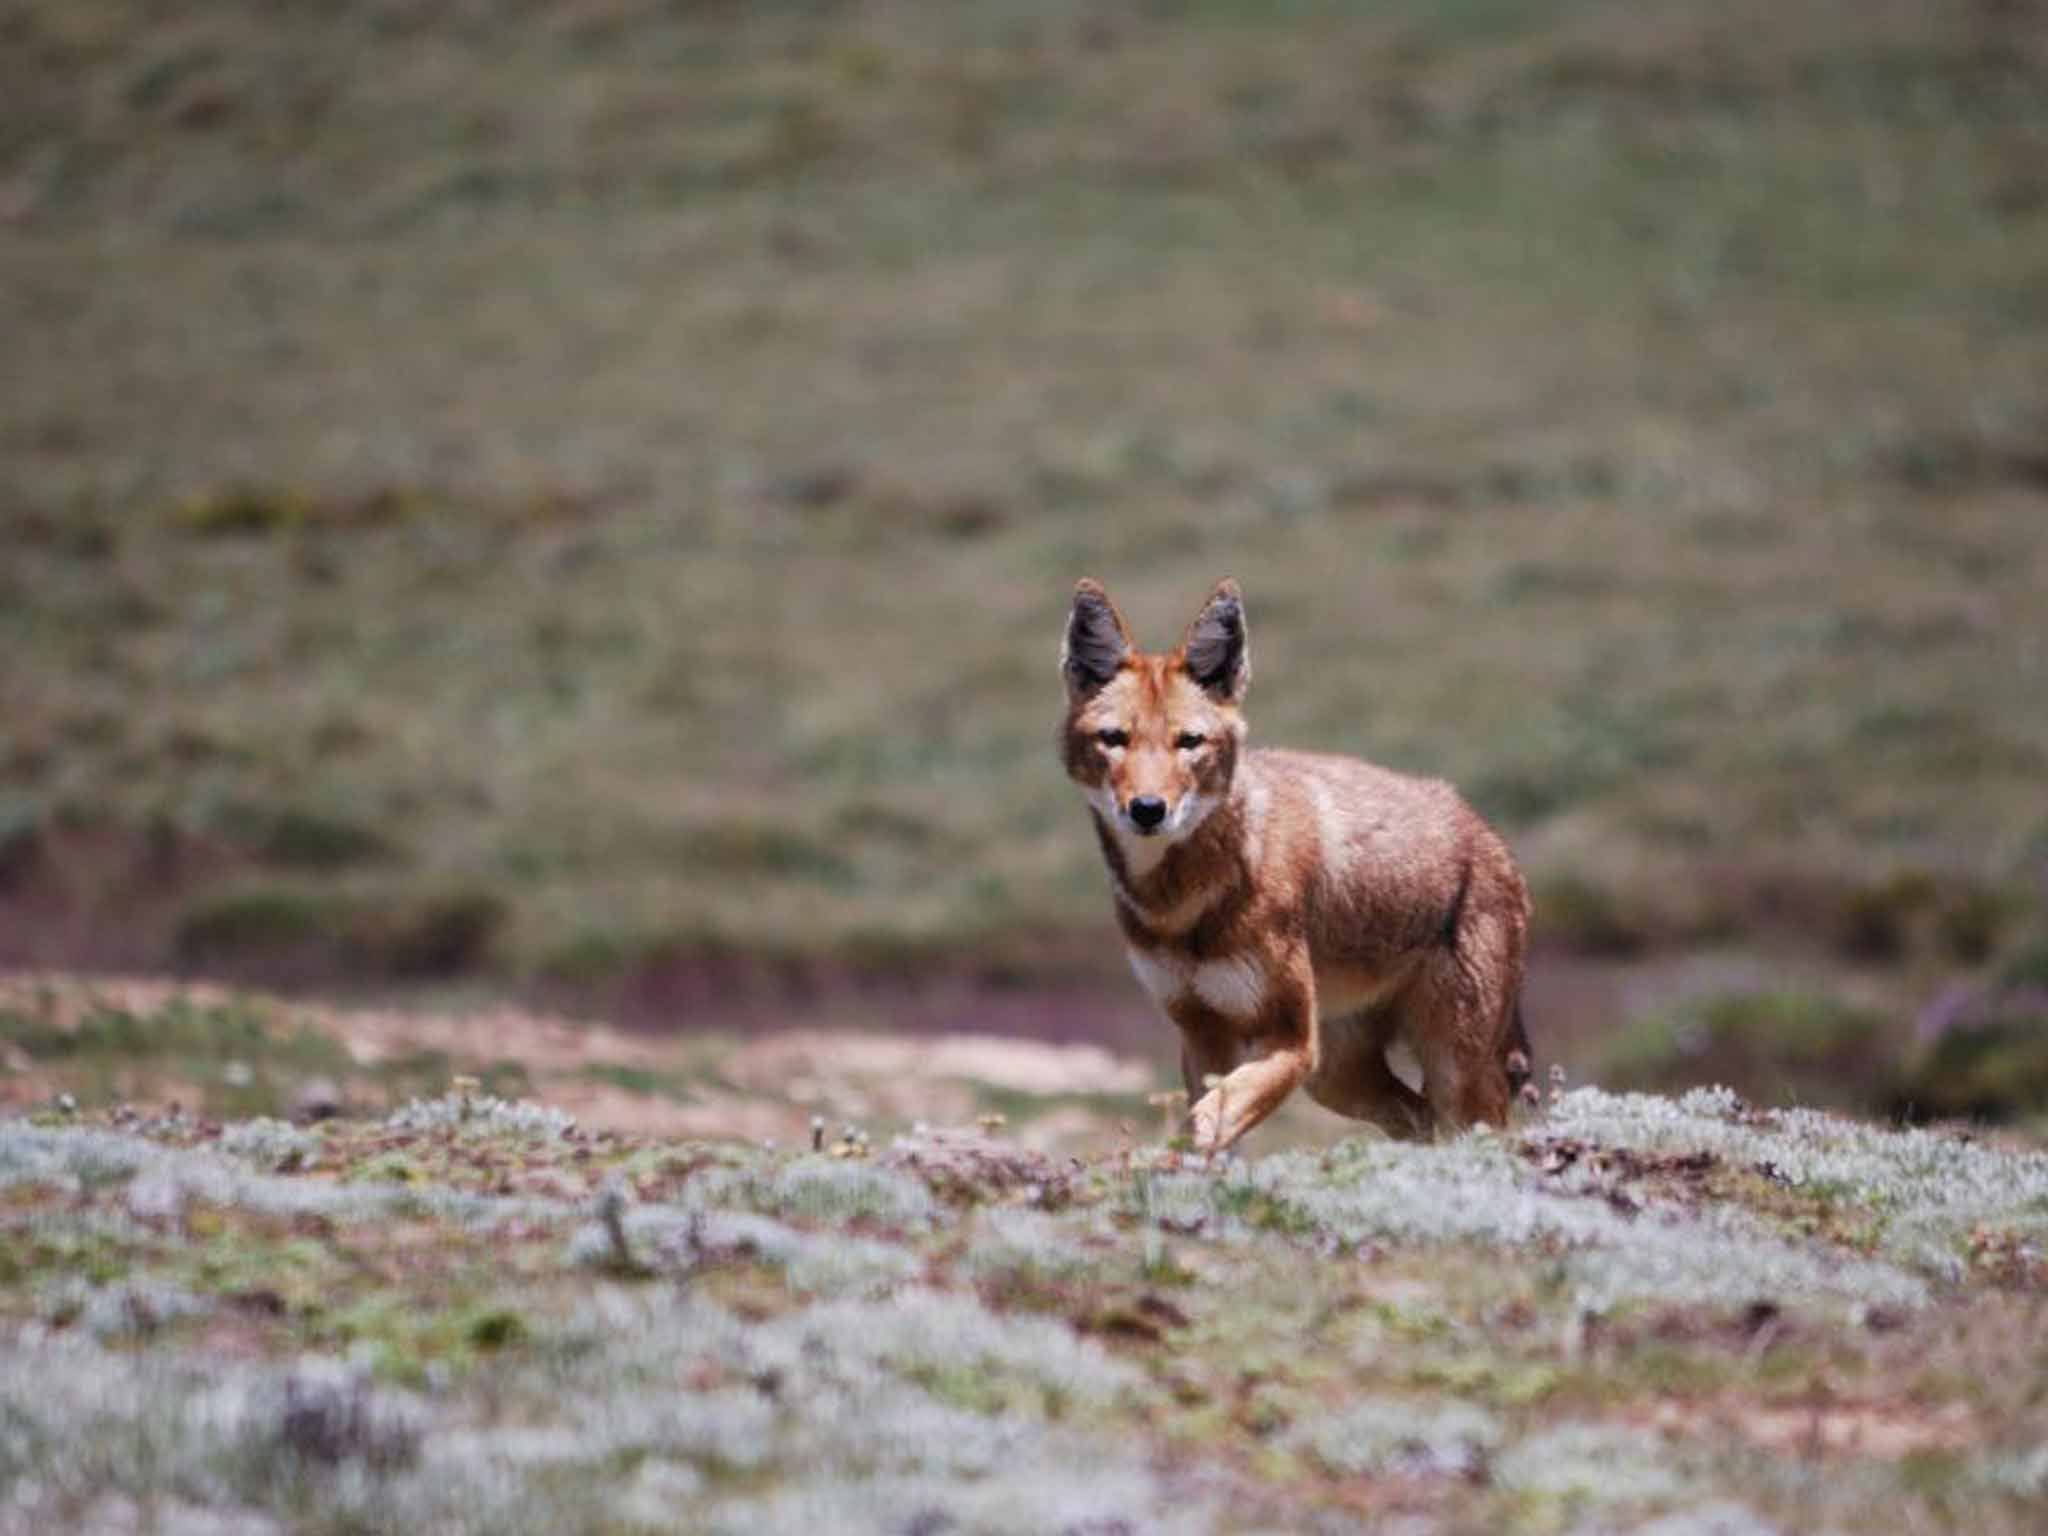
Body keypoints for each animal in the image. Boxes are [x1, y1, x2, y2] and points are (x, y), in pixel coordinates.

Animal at [1064, 581, 1531, 1155]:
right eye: (1114, 739)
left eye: (1188, 742)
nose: (1148, 809)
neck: (1181, 902)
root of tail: (1489, 835)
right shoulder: (1202, 1036)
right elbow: (1209, 1131)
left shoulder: (1291, 1043)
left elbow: (1205, 1123)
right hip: (1338, 1078)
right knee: (1418, 1118)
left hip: (1450, 1074)